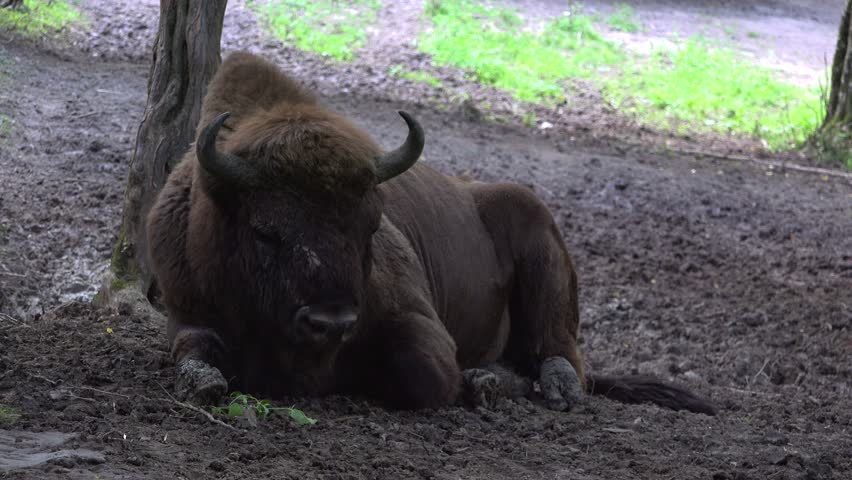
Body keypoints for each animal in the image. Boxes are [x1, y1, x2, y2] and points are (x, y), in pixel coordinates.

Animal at [146, 51, 716, 416]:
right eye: (265, 232)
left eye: (371, 226)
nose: (331, 322)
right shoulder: (188, 312)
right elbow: (199, 362)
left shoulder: (419, 322)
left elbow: (425, 371)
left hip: (543, 251)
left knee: (560, 356)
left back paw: (511, 386)